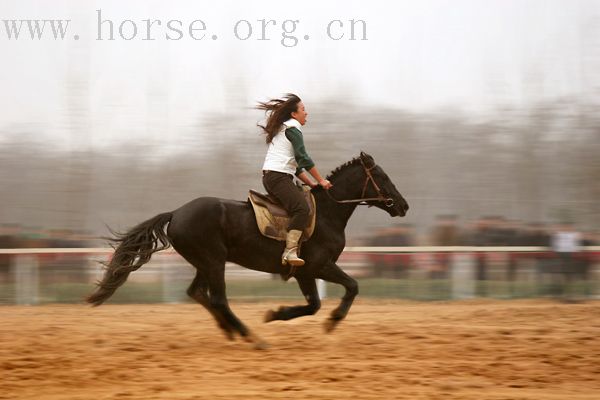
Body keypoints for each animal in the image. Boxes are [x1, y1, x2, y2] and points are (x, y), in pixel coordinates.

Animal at [86, 152, 410, 348]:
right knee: (218, 299)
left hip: (206, 263)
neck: (328, 213)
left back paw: (230, 330)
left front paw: (276, 313)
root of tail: (176, 213)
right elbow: (351, 287)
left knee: (198, 293)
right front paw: (332, 320)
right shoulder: (319, 266)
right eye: (382, 177)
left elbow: (313, 305)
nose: (403, 205)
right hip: (214, 261)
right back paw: (251, 337)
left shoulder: (304, 272)